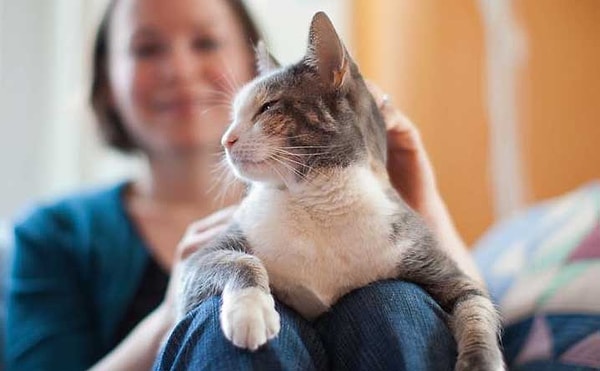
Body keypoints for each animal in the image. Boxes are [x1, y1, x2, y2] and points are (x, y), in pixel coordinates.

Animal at [179, 11, 506, 371]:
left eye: (267, 107)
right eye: (234, 115)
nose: (226, 140)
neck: (318, 199)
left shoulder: (444, 269)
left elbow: (476, 308)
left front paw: (481, 360)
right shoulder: (197, 266)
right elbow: (240, 261)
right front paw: (250, 311)